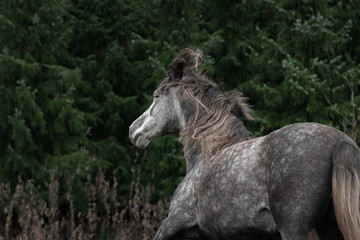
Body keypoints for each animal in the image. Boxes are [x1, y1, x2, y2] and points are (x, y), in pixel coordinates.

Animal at [128, 48, 358, 240]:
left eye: (156, 96)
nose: (133, 130)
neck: (208, 153)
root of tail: (341, 141)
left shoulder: (173, 223)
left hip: (294, 227)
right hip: (329, 226)